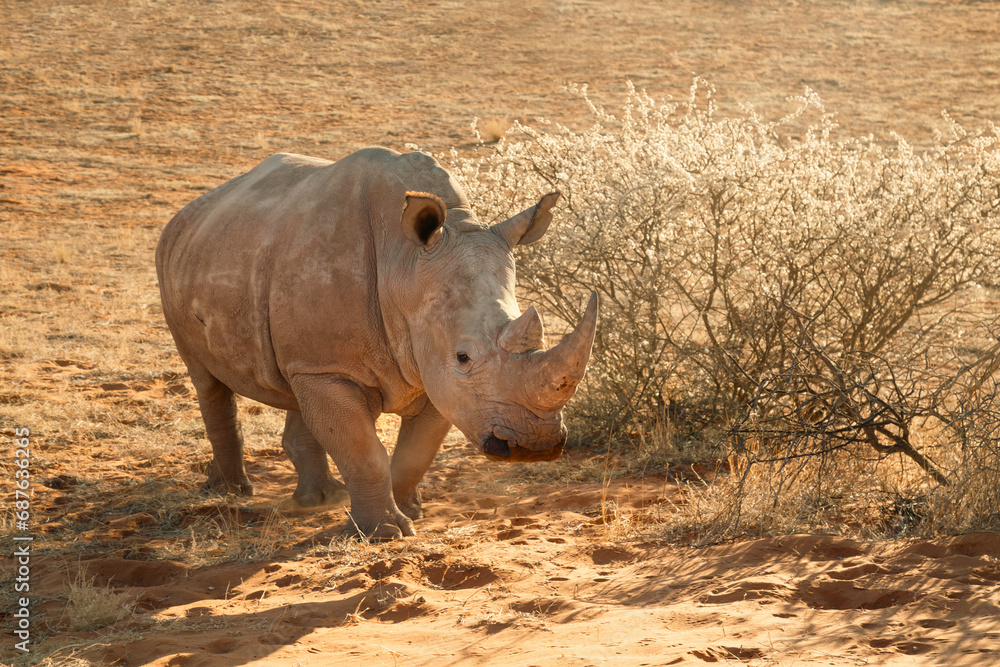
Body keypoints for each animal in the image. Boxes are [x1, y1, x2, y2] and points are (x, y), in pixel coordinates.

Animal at [155, 147, 598, 540]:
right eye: (463, 356)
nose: (536, 445)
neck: (402, 264)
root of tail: (186, 213)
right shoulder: (343, 366)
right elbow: (364, 452)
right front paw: (384, 533)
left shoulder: (431, 372)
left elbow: (415, 454)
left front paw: (410, 513)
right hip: (172, 258)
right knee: (206, 379)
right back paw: (232, 493)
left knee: (294, 380)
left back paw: (319, 499)